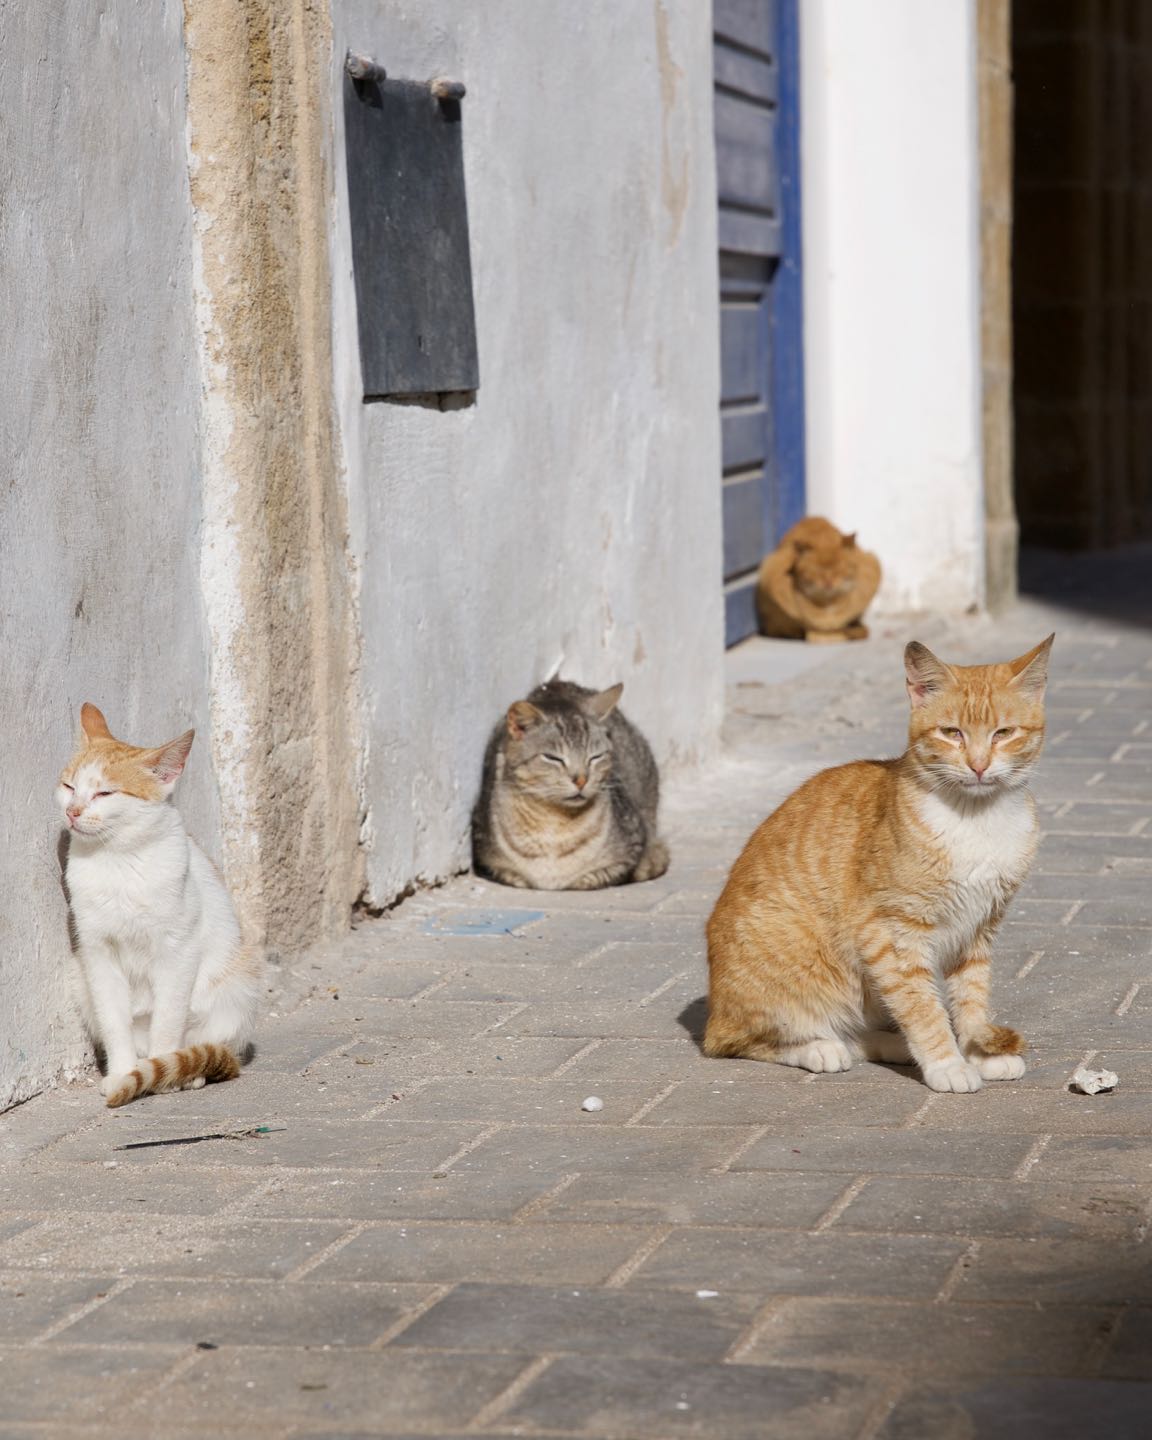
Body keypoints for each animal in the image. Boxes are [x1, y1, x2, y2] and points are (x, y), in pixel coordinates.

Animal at [56, 702, 260, 1105]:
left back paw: (189, 1071)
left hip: (237, 987)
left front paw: (162, 1073)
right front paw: (123, 1074)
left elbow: (168, 1019)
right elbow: (114, 1022)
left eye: (105, 793)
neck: (117, 860)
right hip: (80, 980)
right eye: (69, 786)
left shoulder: (178, 951)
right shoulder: (97, 953)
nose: (73, 811)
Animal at [469, 676, 671, 887]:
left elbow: (593, 877)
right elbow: (513, 876)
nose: (581, 780)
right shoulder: (486, 856)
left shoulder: (632, 842)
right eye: (553, 758)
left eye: (595, 757)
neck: (554, 826)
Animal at [702, 633, 1054, 1088]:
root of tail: (713, 1013)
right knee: (745, 1039)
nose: (978, 766)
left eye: (1004, 733)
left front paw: (978, 1050)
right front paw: (947, 1063)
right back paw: (820, 1047)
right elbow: (921, 1006)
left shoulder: (978, 928)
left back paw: (891, 1044)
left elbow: (971, 995)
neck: (975, 820)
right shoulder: (891, 933)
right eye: (951, 733)